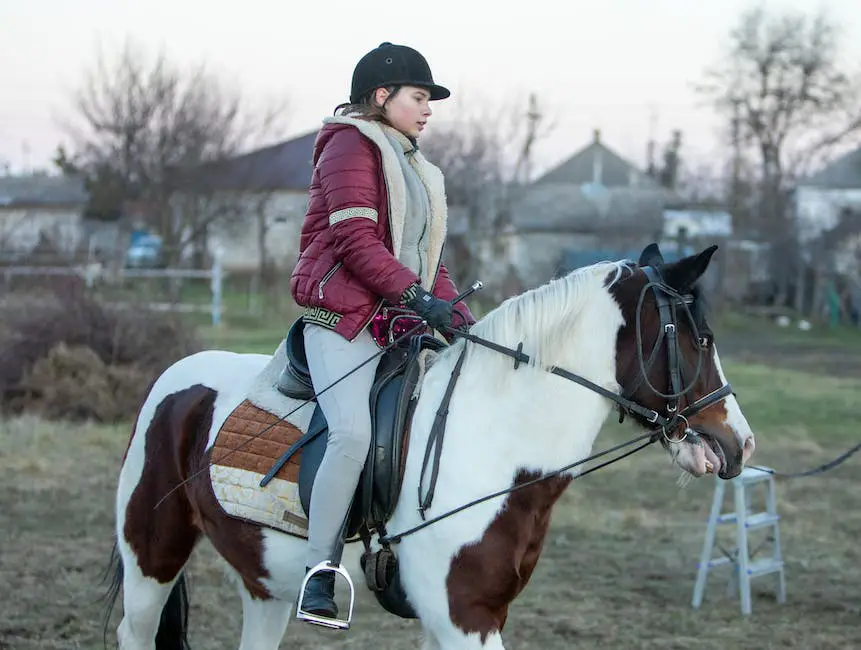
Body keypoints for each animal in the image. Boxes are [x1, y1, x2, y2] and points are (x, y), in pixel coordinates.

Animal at [104, 244, 756, 648]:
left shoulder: (470, 617)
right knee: (136, 630)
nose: (739, 444)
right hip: (151, 558)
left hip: (265, 584)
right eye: (701, 338)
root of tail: (176, 376)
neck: (491, 441)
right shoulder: (463, 617)